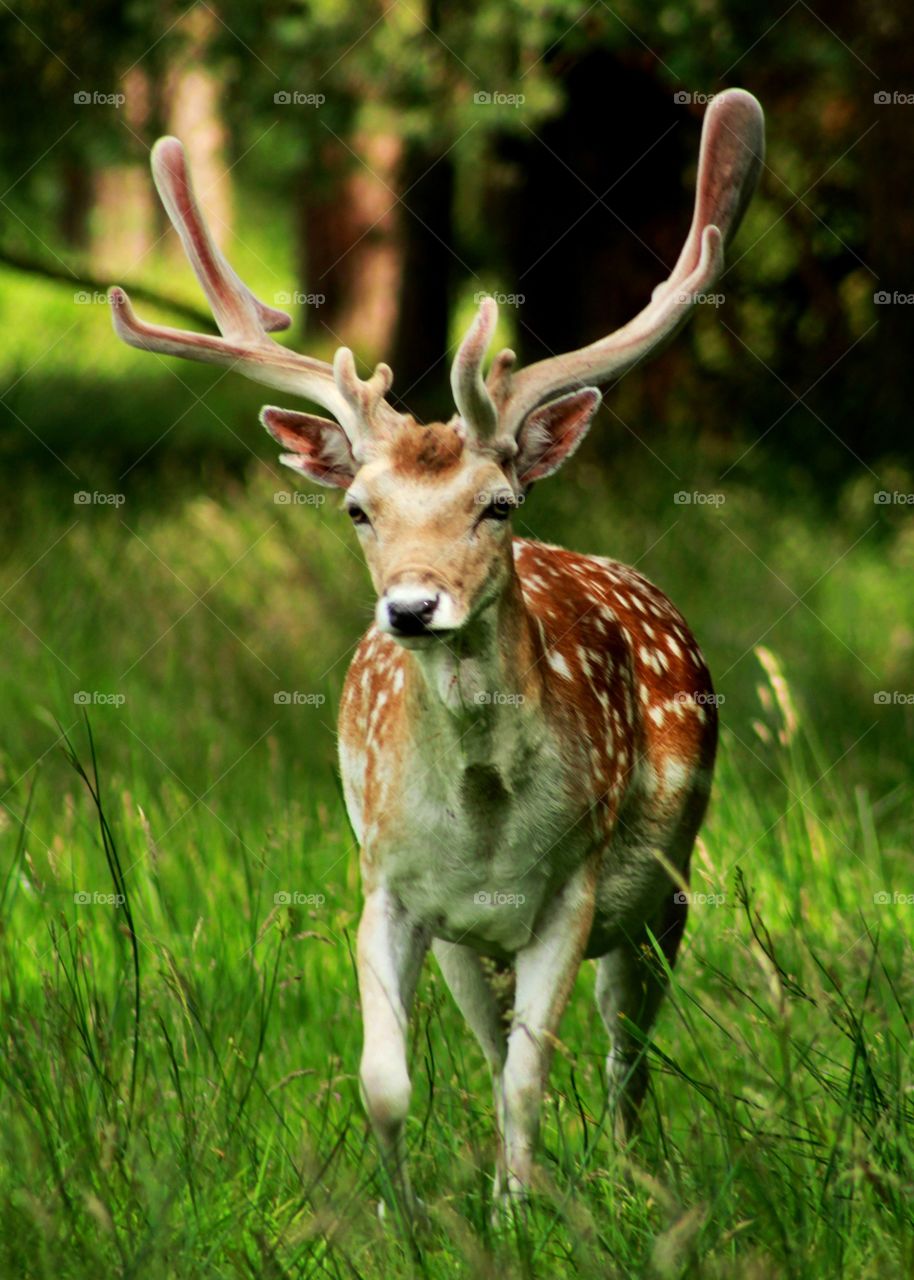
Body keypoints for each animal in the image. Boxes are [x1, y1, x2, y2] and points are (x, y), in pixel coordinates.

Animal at [109, 87, 764, 1219]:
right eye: (359, 509)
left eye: (496, 503)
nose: (412, 606)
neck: (488, 828)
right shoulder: (389, 883)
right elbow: (388, 1078)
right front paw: (406, 1219)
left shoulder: (572, 889)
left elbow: (530, 1079)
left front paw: (518, 1214)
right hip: (474, 941)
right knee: (512, 1042)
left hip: (665, 886)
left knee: (625, 1051)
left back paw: (627, 1173)